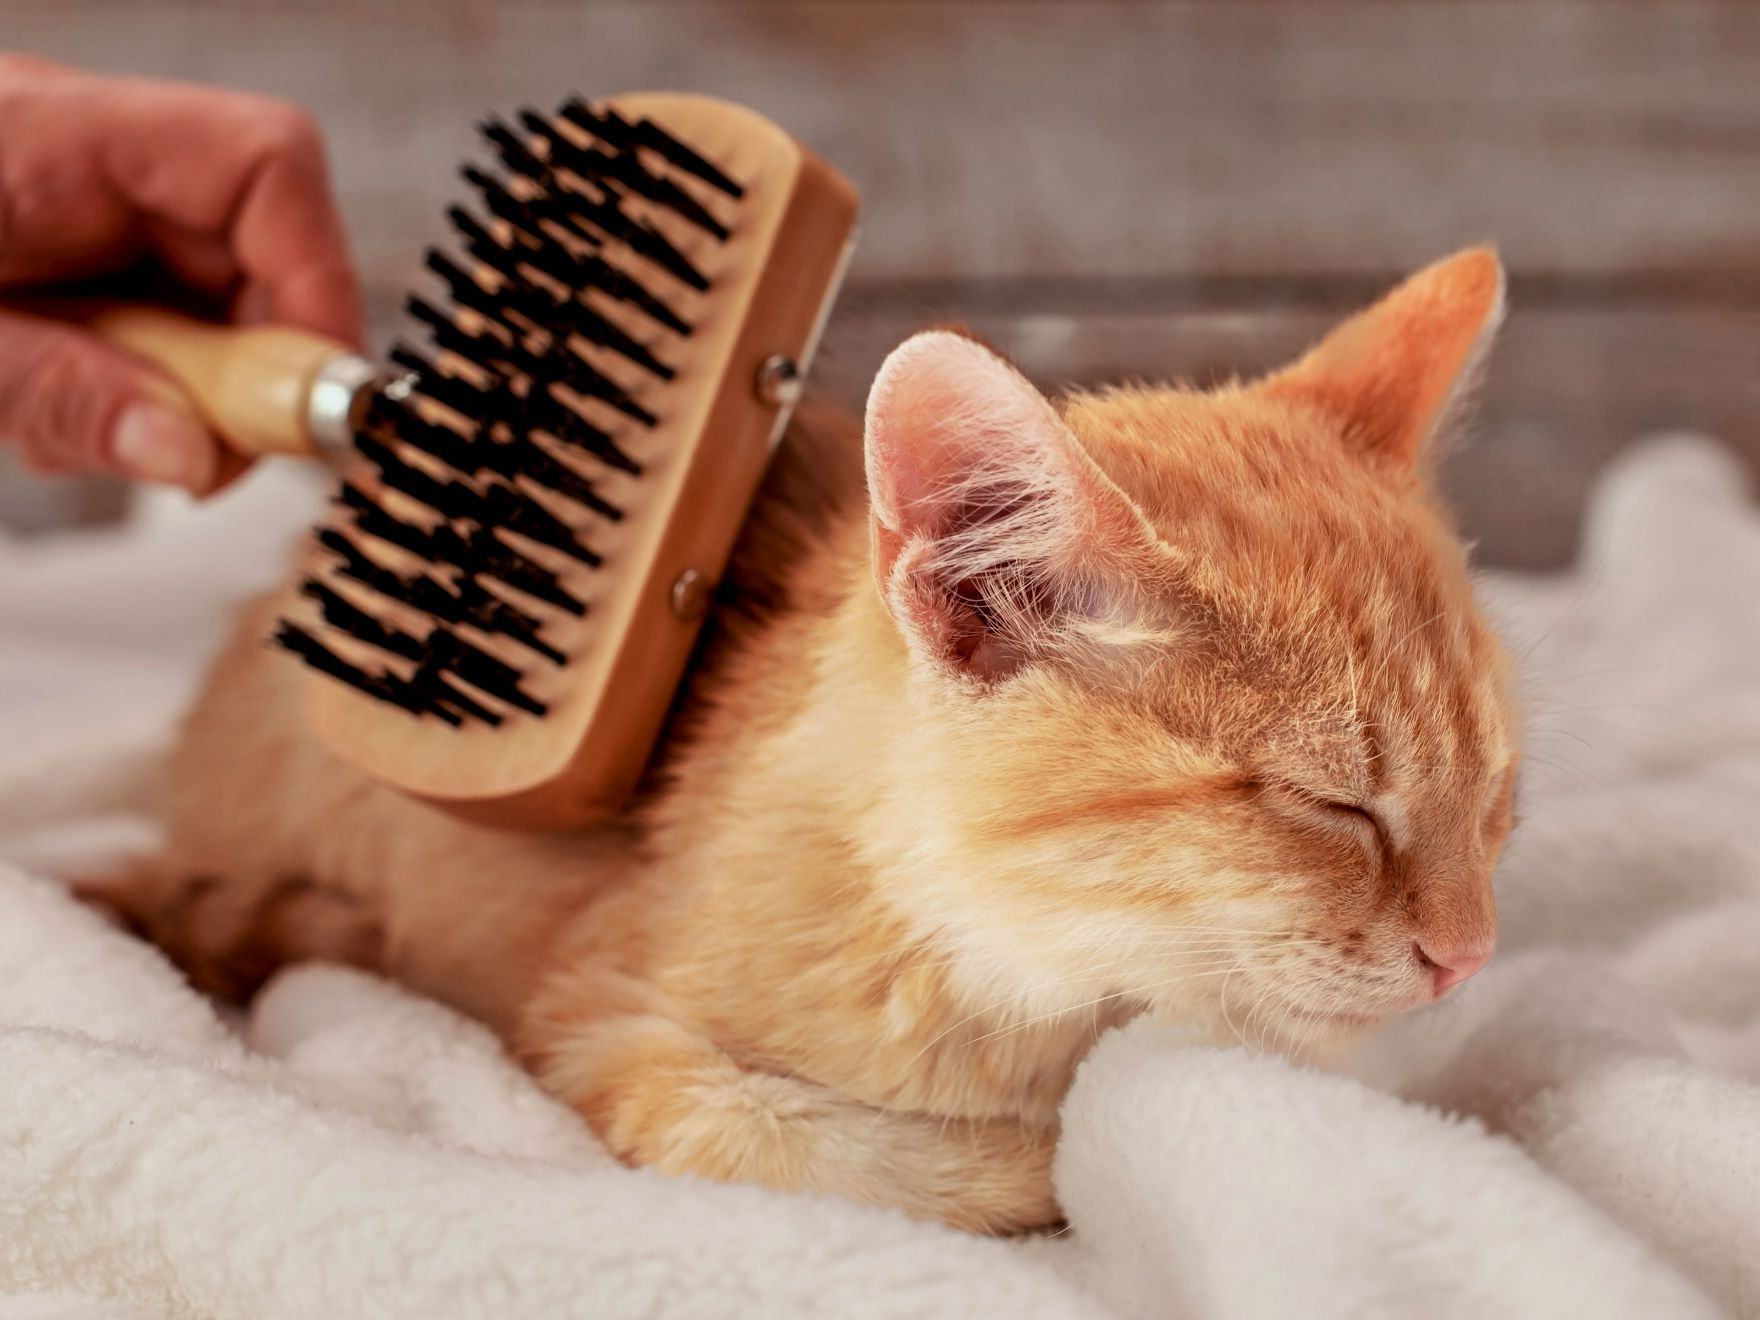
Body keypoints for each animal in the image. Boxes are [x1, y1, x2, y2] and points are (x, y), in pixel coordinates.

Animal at [110, 249, 1520, 1239]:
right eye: (1332, 804)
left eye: (1495, 801)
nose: (1468, 959)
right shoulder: (593, 1019)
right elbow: (789, 1136)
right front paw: (1038, 1158)